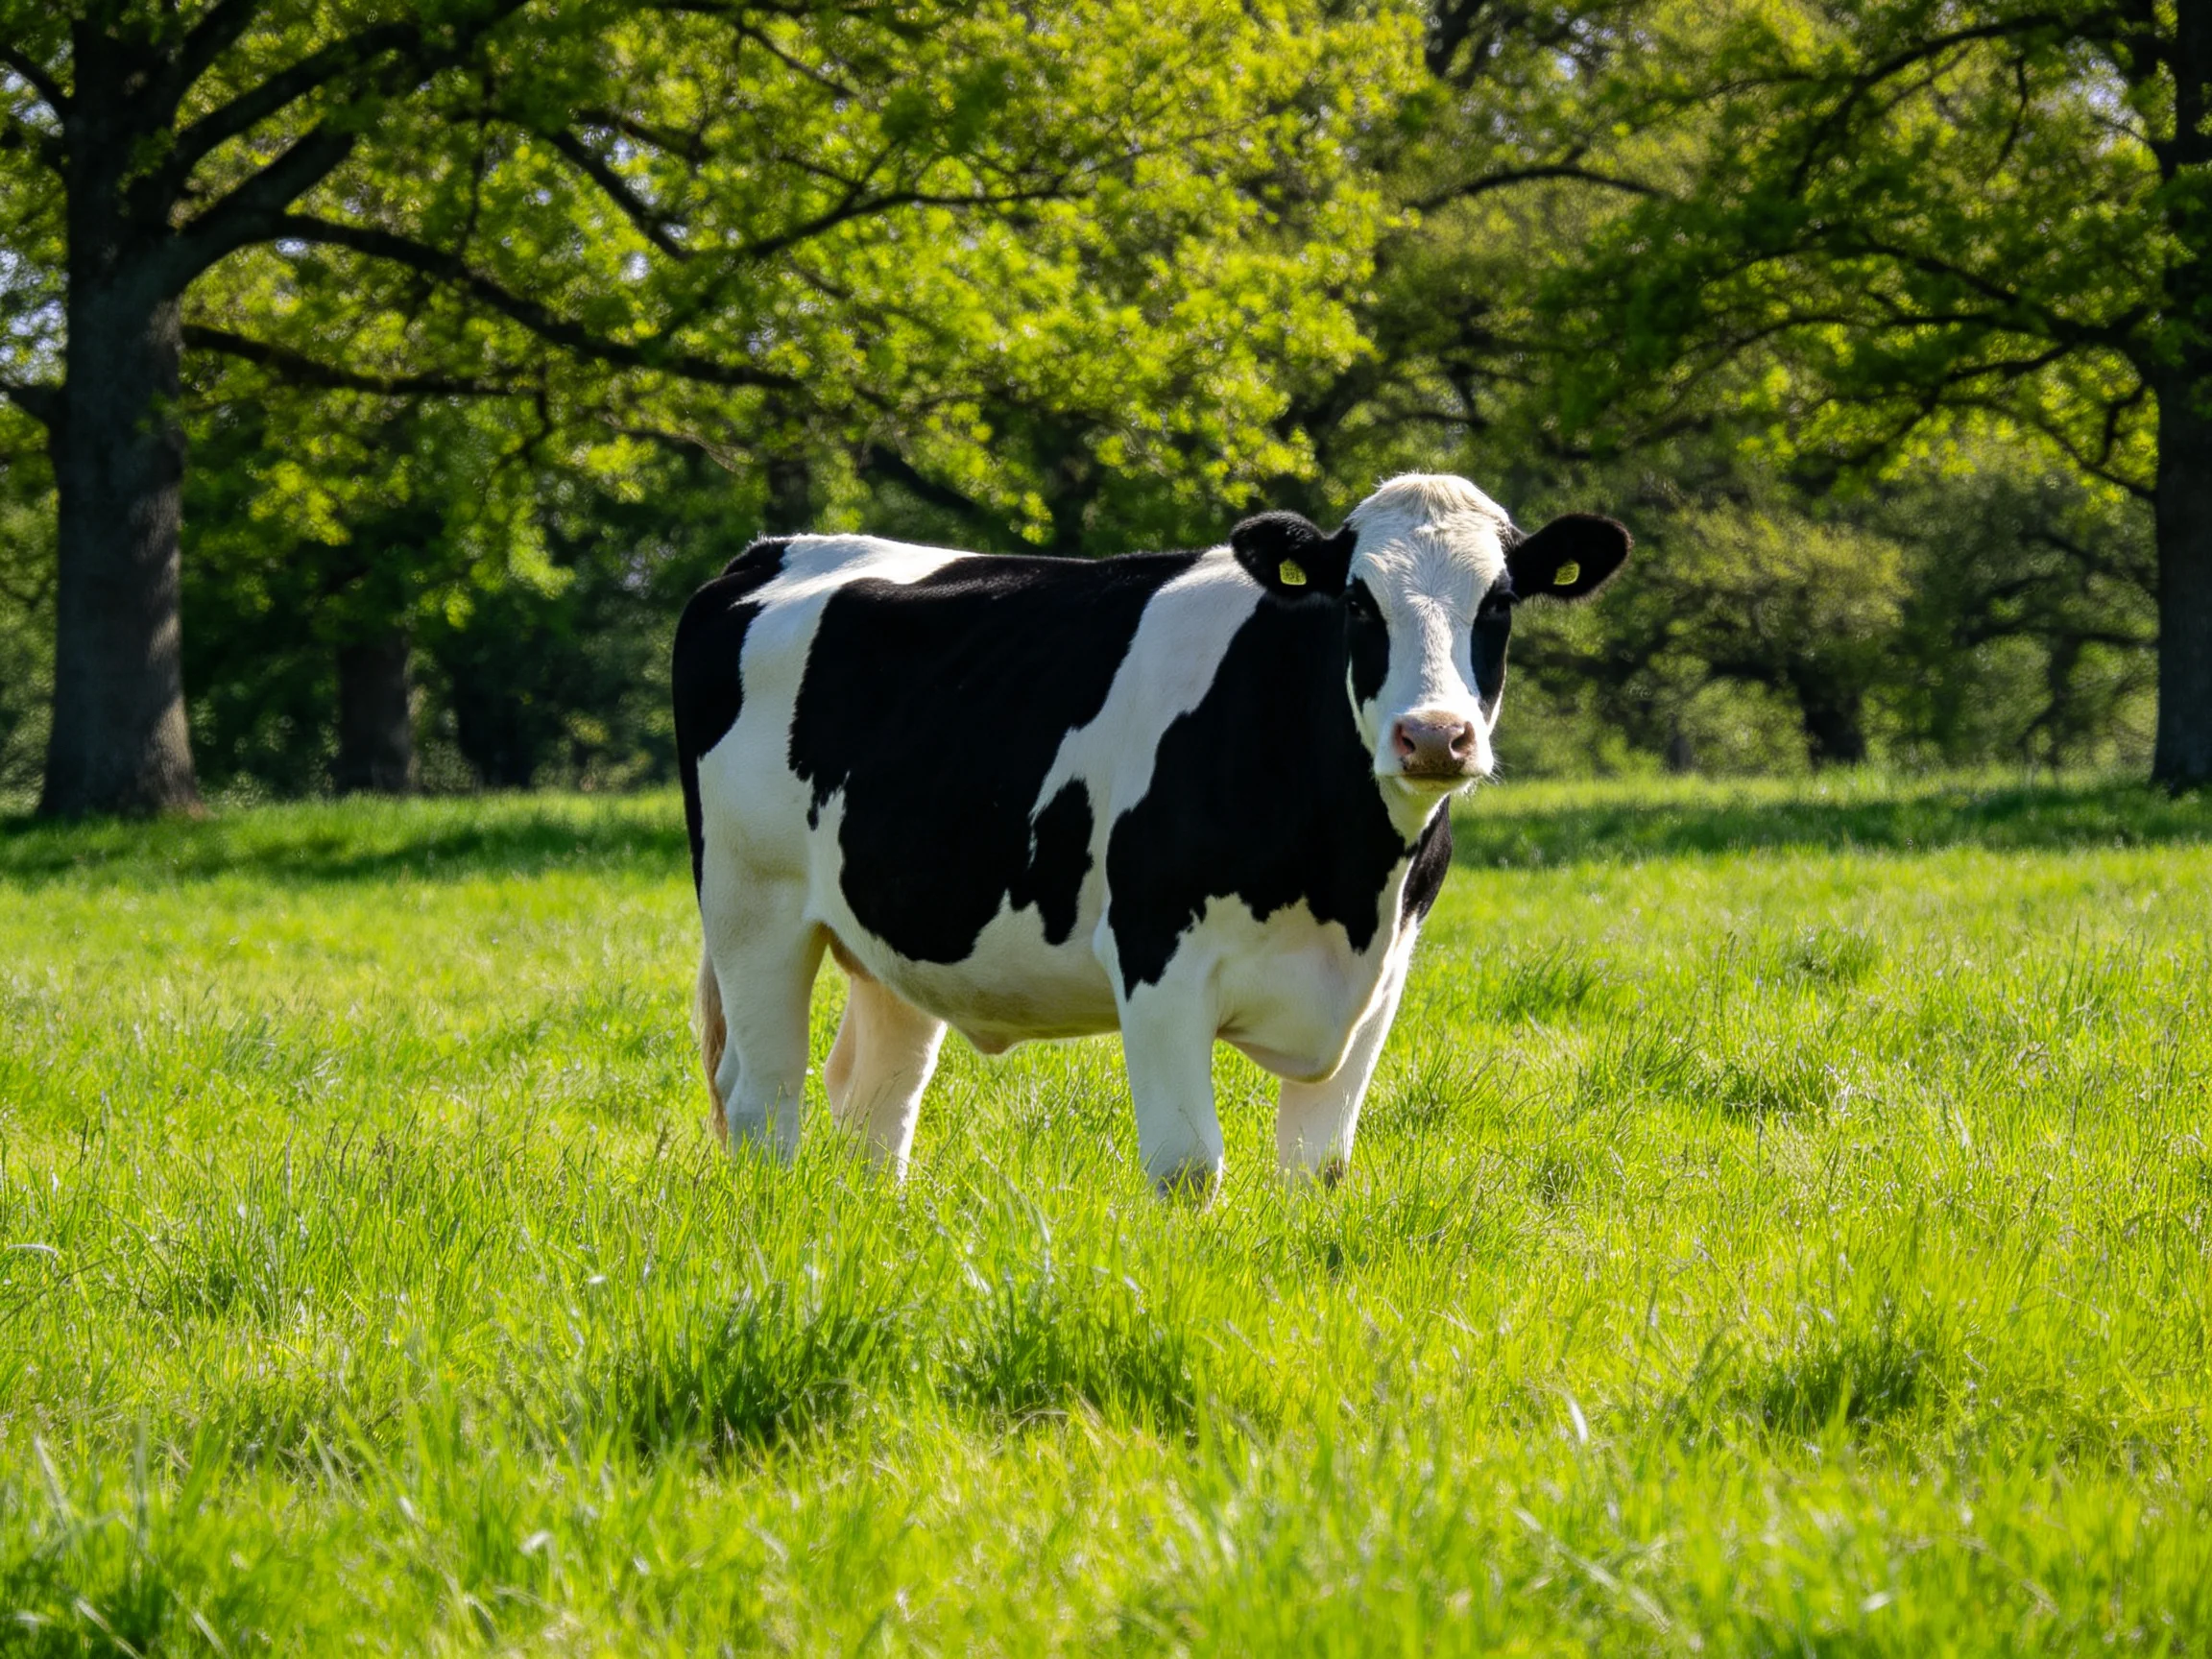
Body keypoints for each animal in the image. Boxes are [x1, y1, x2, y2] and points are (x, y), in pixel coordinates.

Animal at [673, 473, 1629, 1192]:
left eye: (1499, 602)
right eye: (1358, 601)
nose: (1434, 736)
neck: (1347, 884)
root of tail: (777, 548)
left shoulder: (1381, 979)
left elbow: (1318, 1169)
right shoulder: (1158, 956)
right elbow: (1187, 1169)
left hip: (897, 933)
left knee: (877, 1104)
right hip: (753, 908)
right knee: (763, 1102)